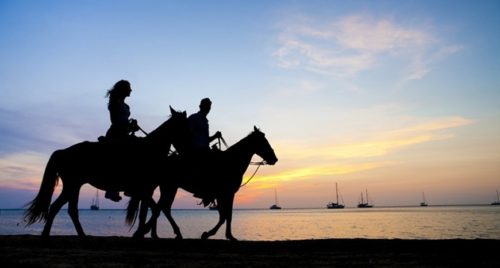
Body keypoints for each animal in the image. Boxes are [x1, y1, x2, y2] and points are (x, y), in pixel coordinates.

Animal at [23, 107, 189, 237]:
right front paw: (143, 232)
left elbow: (152, 211)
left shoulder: (146, 190)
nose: (186, 151)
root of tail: (62, 151)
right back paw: (50, 235)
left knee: (69, 210)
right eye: (185, 127)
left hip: (74, 186)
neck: (150, 149)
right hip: (72, 185)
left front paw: (145, 232)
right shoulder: (143, 190)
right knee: (58, 208)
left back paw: (79, 235)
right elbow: (155, 210)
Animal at [128, 126, 278, 241]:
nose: (274, 159)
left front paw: (227, 235)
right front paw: (210, 234)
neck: (231, 162)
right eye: (263, 141)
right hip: (169, 187)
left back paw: (159, 233)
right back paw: (149, 231)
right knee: (160, 207)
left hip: (168, 187)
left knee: (160, 207)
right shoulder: (226, 193)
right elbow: (225, 216)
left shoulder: (225, 194)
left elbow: (226, 215)